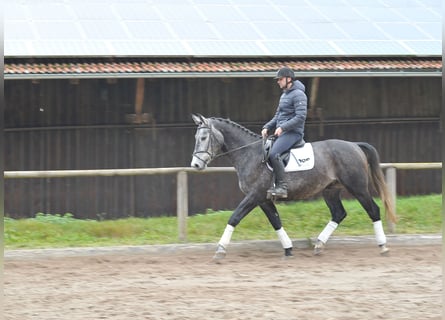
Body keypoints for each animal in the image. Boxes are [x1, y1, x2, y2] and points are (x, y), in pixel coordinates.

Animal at [189, 114, 398, 258]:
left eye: (204, 138)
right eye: (196, 138)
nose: (196, 165)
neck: (250, 154)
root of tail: (354, 145)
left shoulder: (254, 196)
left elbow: (234, 218)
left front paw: (220, 249)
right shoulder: (263, 199)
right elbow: (276, 221)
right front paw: (288, 249)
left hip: (358, 188)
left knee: (373, 210)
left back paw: (383, 246)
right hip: (330, 190)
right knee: (339, 213)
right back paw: (319, 245)